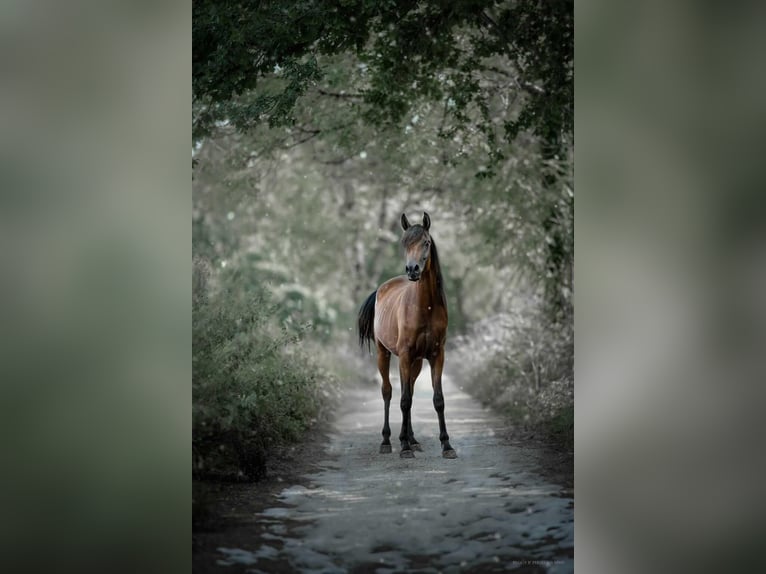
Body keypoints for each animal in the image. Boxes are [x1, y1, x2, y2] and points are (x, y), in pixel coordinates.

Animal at [358, 214, 460, 462]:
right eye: (404, 243)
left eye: (426, 242)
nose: (412, 270)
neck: (425, 307)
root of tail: (382, 289)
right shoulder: (404, 356)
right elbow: (403, 400)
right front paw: (403, 447)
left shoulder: (436, 356)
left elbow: (437, 400)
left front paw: (447, 445)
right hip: (384, 354)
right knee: (388, 392)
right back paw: (388, 441)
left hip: (416, 363)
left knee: (410, 391)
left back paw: (412, 439)